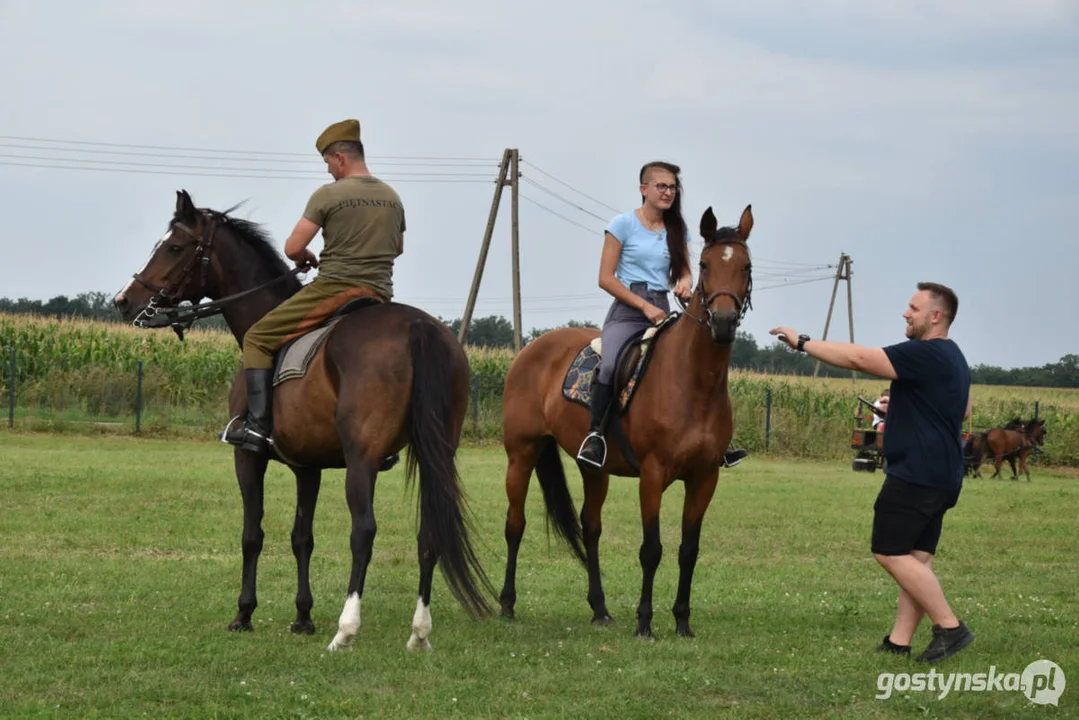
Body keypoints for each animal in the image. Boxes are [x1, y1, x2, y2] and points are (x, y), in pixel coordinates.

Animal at [112, 191, 494, 651]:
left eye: (173, 247)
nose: (124, 301)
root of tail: (418, 327)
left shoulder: (248, 459)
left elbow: (252, 535)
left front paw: (244, 613)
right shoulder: (307, 468)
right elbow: (302, 539)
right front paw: (302, 616)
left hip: (363, 460)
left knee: (363, 532)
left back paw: (346, 630)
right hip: (437, 453)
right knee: (429, 532)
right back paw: (418, 633)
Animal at [500, 205, 755, 639]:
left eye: (746, 266)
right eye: (705, 265)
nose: (722, 322)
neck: (693, 381)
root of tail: (531, 349)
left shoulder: (705, 478)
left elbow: (689, 550)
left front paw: (682, 622)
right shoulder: (652, 475)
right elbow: (651, 550)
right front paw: (645, 623)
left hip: (593, 468)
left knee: (591, 528)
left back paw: (600, 609)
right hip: (522, 453)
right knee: (515, 524)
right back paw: (506, 604)